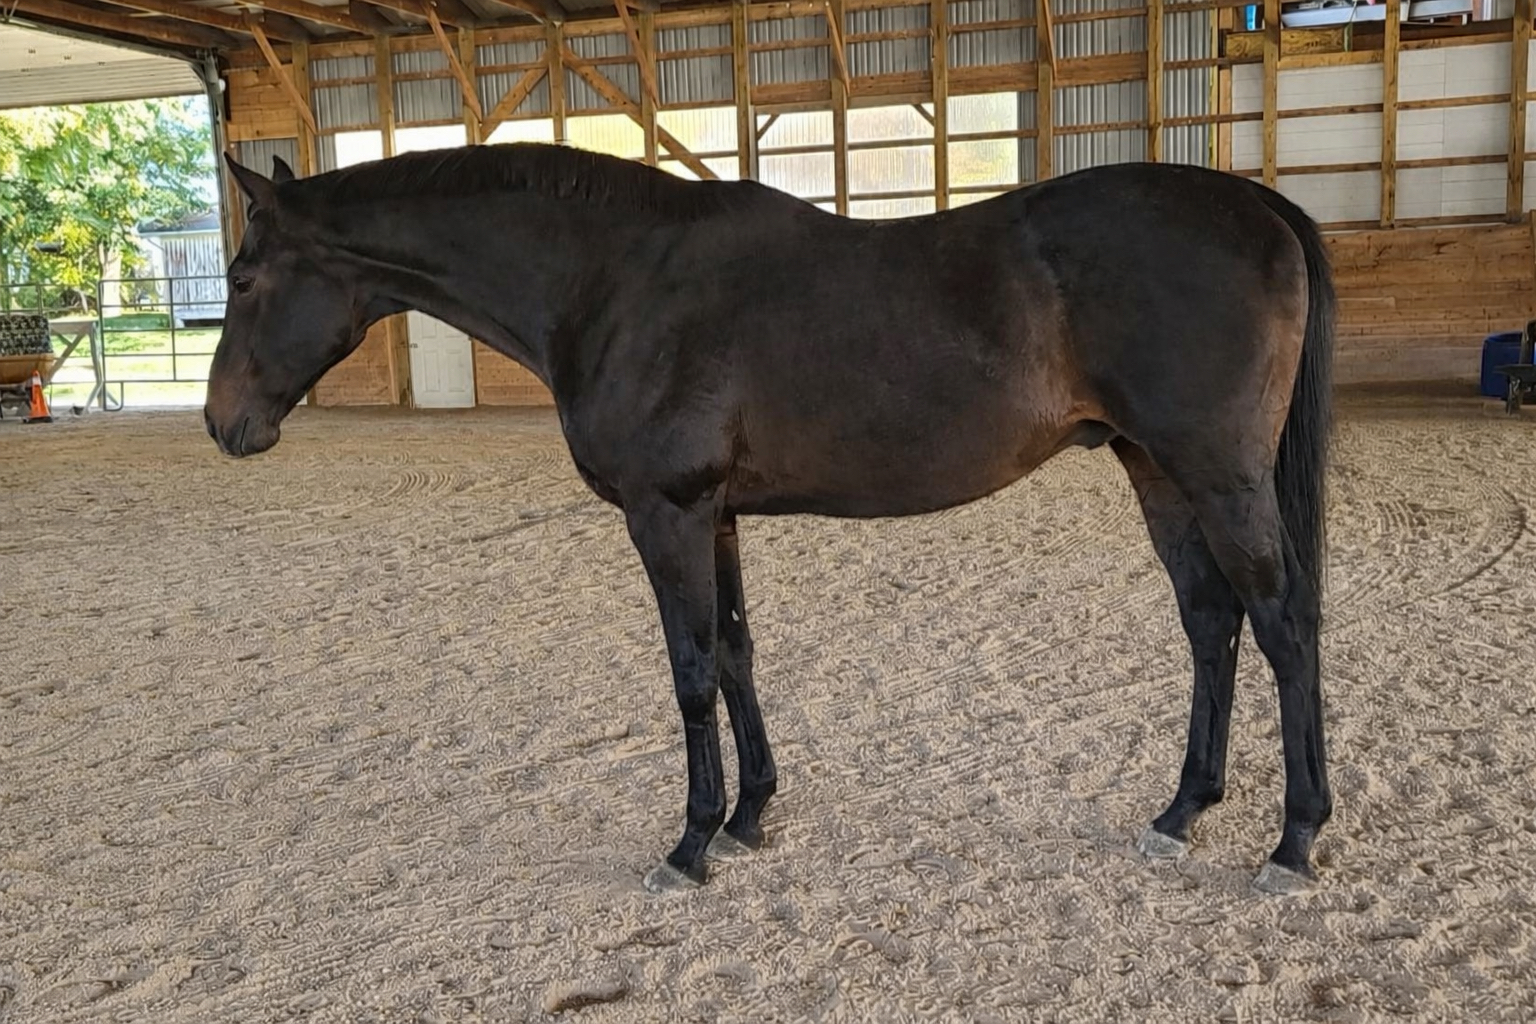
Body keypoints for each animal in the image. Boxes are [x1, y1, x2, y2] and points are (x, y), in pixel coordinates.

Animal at [206, 143, 1335, 896]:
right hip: (1158, 472)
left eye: (244, 275)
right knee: (1212, 623)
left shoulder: (664, 515)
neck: (613, 280)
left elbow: (691, 670)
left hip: (1217, 476)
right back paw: (1181, 812)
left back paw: (1294, 840)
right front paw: (751, 815)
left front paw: (692, 843)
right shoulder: (716, 516)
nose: (223, 423)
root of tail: (1255, 204)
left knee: (1284, 628)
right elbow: (738, 653)